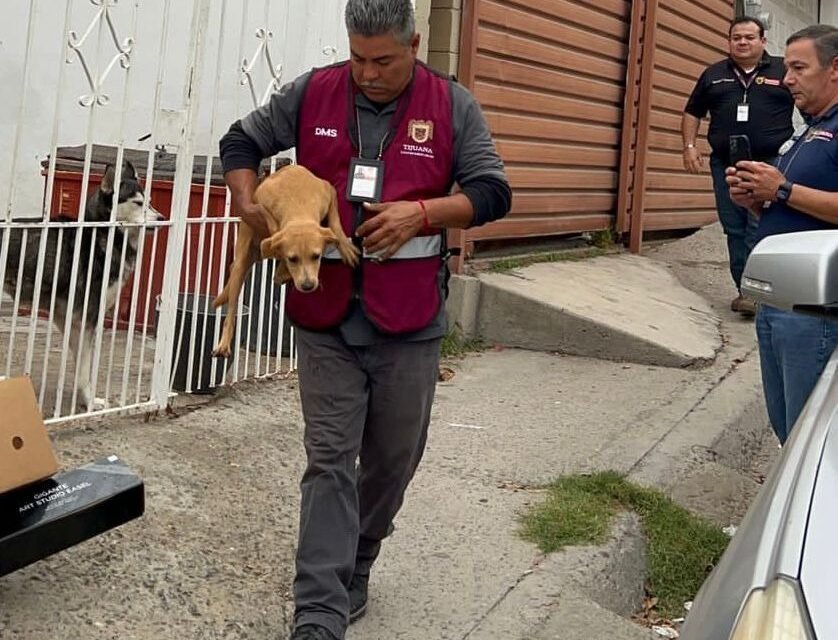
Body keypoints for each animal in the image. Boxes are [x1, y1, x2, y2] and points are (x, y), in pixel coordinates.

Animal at [1, 160, 164, 410]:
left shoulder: (68, 318)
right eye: (137, 203)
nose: (161, 219)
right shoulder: (87, 318)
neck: (103, 235)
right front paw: (89, 400)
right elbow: (85, 369)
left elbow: (80, 364)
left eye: (150, 202)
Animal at [213, 165, 358, 358]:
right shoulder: (258, 205)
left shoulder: (329, 192)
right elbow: (270, 223)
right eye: (293, 259)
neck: (297, 205)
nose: (307, 286)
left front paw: (344, 244)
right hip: (240, 263)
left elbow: (334, 222)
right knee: (230, 310)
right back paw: (223, 344)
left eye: (316, 256)